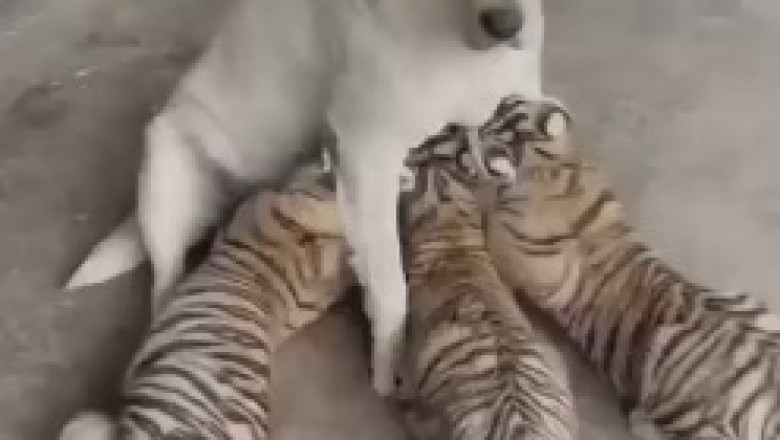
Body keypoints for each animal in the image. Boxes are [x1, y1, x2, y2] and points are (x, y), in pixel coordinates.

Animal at [482, 94, 780, 439]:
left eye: (505, 127)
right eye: (501, 107)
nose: (477, 130)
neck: (561, 162)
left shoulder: (522, 258)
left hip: (672, 368)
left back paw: (639, 420)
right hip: (750, 303)